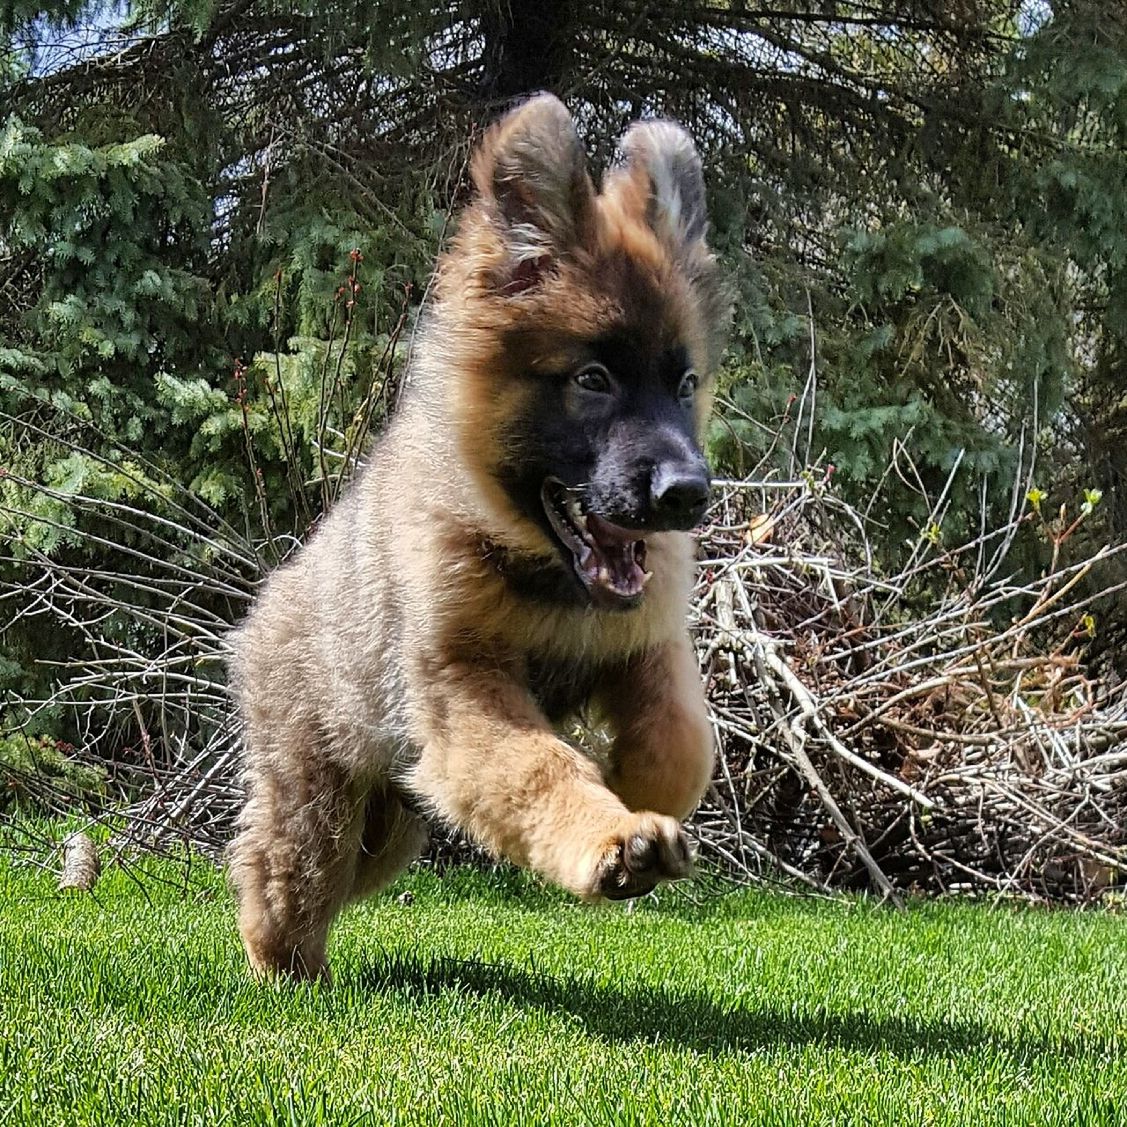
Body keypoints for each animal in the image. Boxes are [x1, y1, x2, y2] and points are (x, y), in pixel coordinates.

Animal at [226, 94, 730, 978]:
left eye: (684, 383)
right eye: (592, 380)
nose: (686, 494)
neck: (545, 572)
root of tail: (266, 604)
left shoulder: (646, 641)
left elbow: (681, 737)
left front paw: (637, 790)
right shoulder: (465, 690)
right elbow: (540, 770)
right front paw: (612, 836)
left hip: (393, 819)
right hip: (323, 789)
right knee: (284, 867)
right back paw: (283, 969)